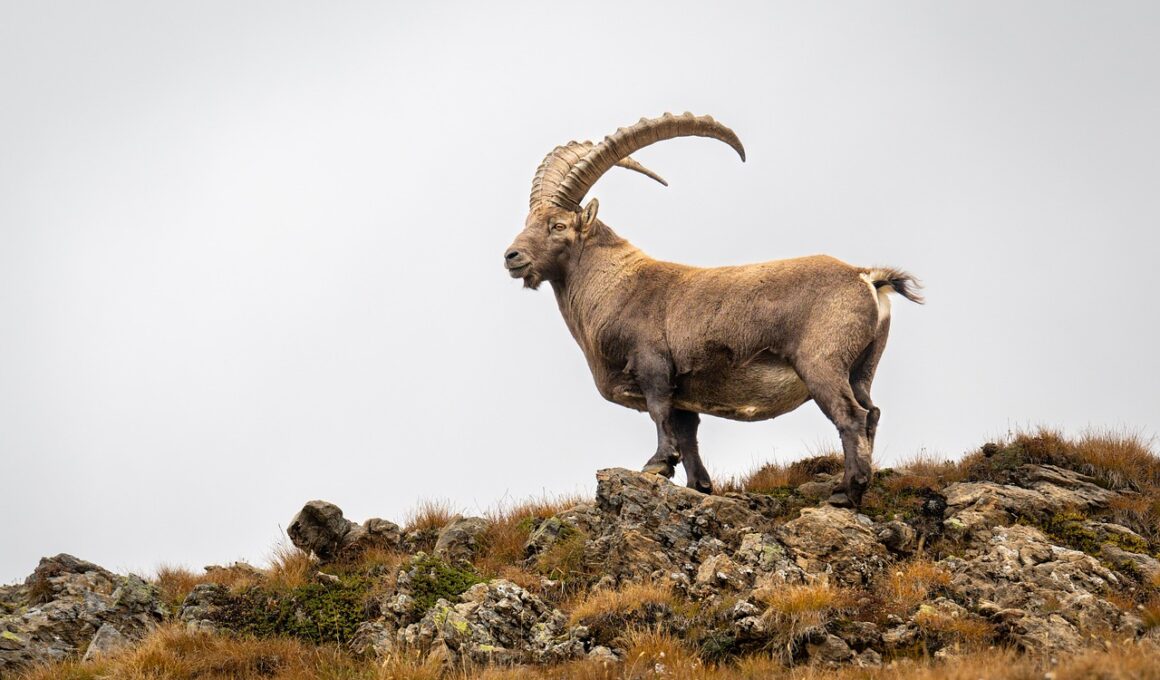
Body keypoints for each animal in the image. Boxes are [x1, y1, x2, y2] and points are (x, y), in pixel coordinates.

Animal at [503, 113, 922, 507]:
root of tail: (866, 277)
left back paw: (846, 492)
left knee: (851, 416)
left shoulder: (653, 364)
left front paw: (657, 464)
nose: (512, 256)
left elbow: (659, 412)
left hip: (821, 363)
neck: (616, 284)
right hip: (862, 367)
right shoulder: (684, 393)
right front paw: (699, 486)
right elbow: (688, 435)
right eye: (529, 222)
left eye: (558, 225)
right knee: (872, 412)